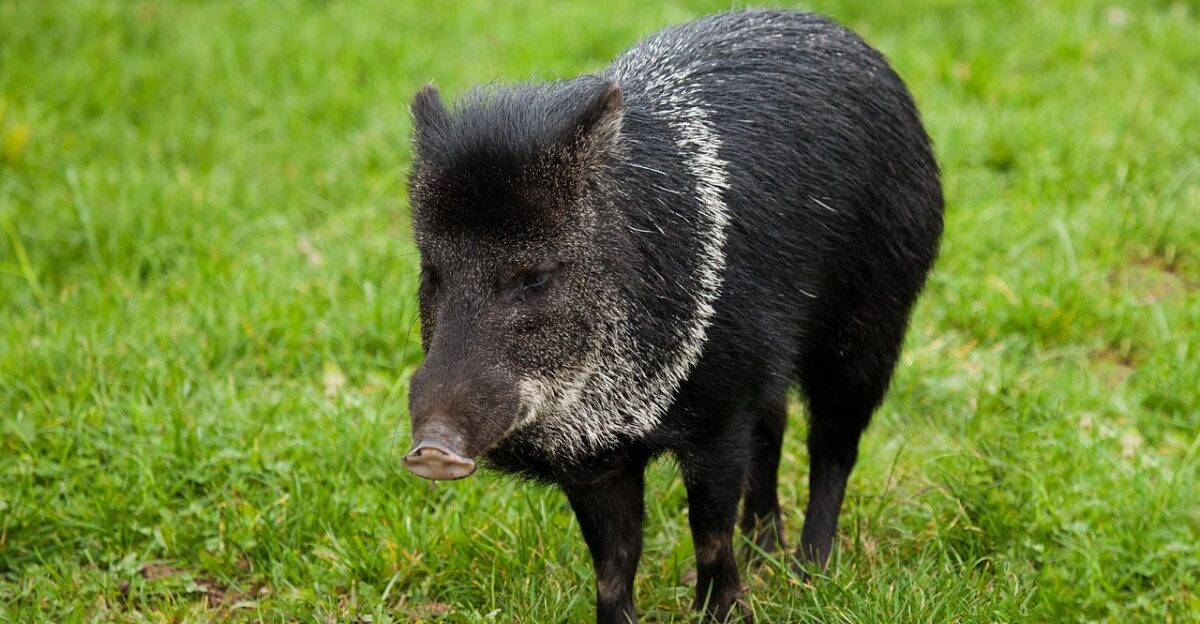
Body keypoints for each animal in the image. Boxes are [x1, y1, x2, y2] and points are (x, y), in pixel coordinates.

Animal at [402, 9, 943, 623]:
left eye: (534, 277)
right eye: (432, 273)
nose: (432, 451)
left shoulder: (719, 418)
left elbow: (708, 531)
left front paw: (724, 612)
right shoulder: (596, 457)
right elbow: (614, 561)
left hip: (870, 326)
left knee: (833, 444)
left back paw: (810, 573)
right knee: (775, 427)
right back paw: (766, 555)